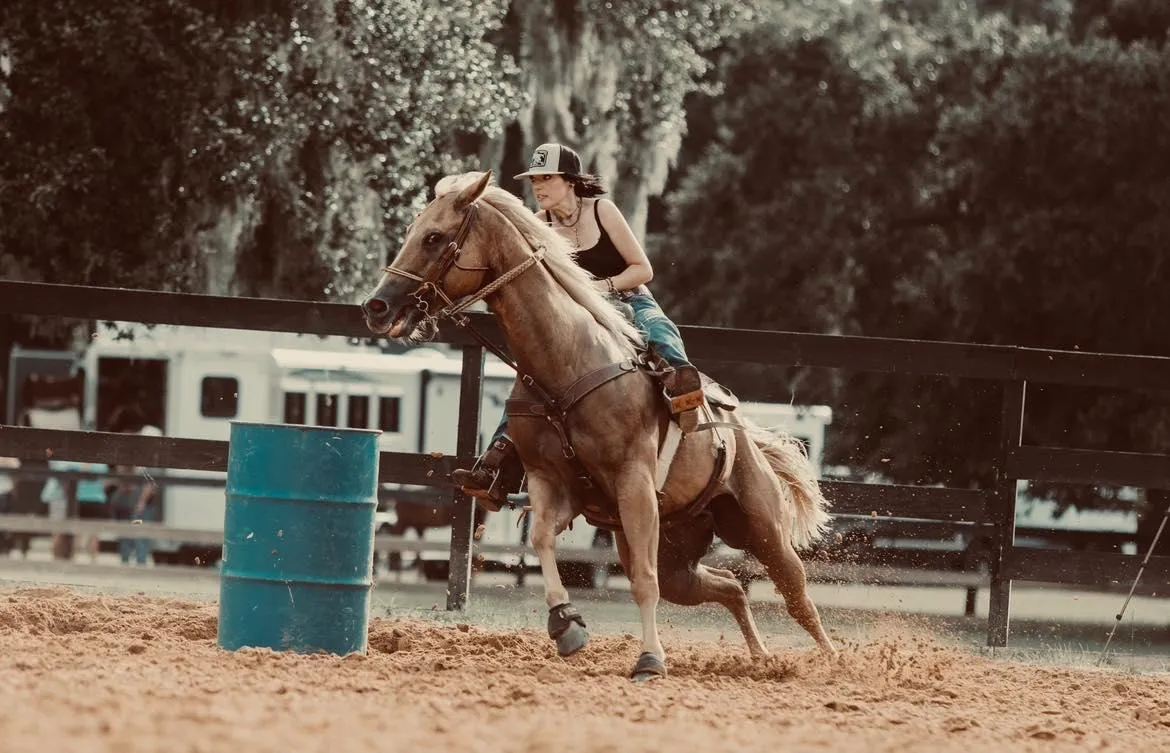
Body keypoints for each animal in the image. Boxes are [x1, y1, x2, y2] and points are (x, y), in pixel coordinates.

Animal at [360, 170, 837, 682]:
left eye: (434, 237)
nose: (376, 307)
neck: (567, 364)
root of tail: (745, 438)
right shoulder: (553, 484)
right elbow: (542, 539)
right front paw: (566, 626)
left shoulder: (634, 485)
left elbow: (642, 583)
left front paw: (650, 660)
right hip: (676, 554)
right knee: (728, 584)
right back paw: (761, 657)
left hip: (762, 531)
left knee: (797, 596)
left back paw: (835, 662)